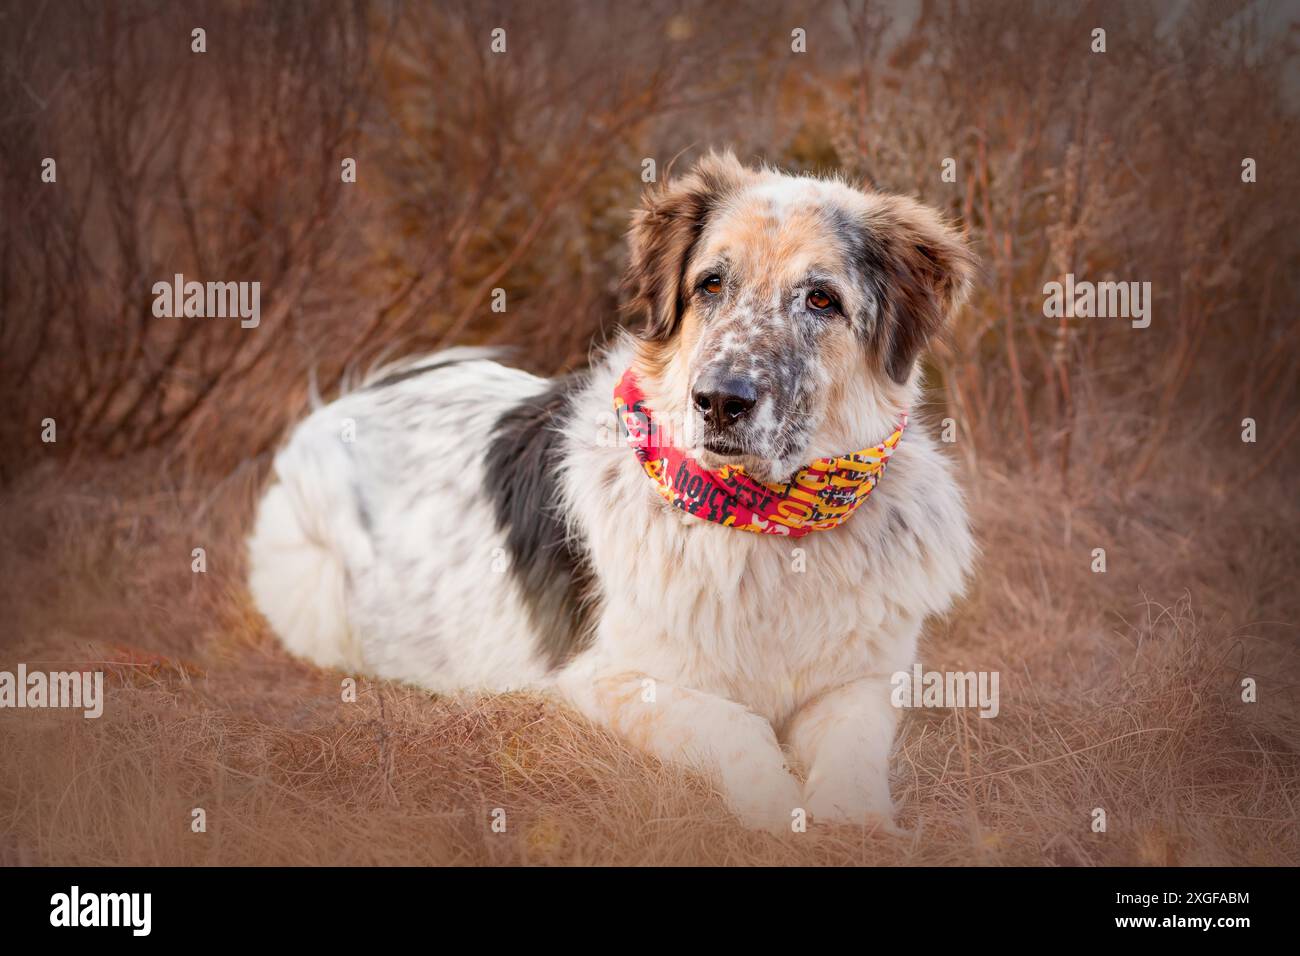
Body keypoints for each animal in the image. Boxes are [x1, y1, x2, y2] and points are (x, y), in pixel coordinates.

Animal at [245, 149, 977, 832]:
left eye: (822, 299)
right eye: (711, 284)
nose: (718, 401)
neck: (767, 528)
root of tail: (344, 401)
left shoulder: (866, 680)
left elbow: (852, 752)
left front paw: (854, 823)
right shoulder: (602, 679)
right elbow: (735, 725)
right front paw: (776, 812)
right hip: (317, 587)